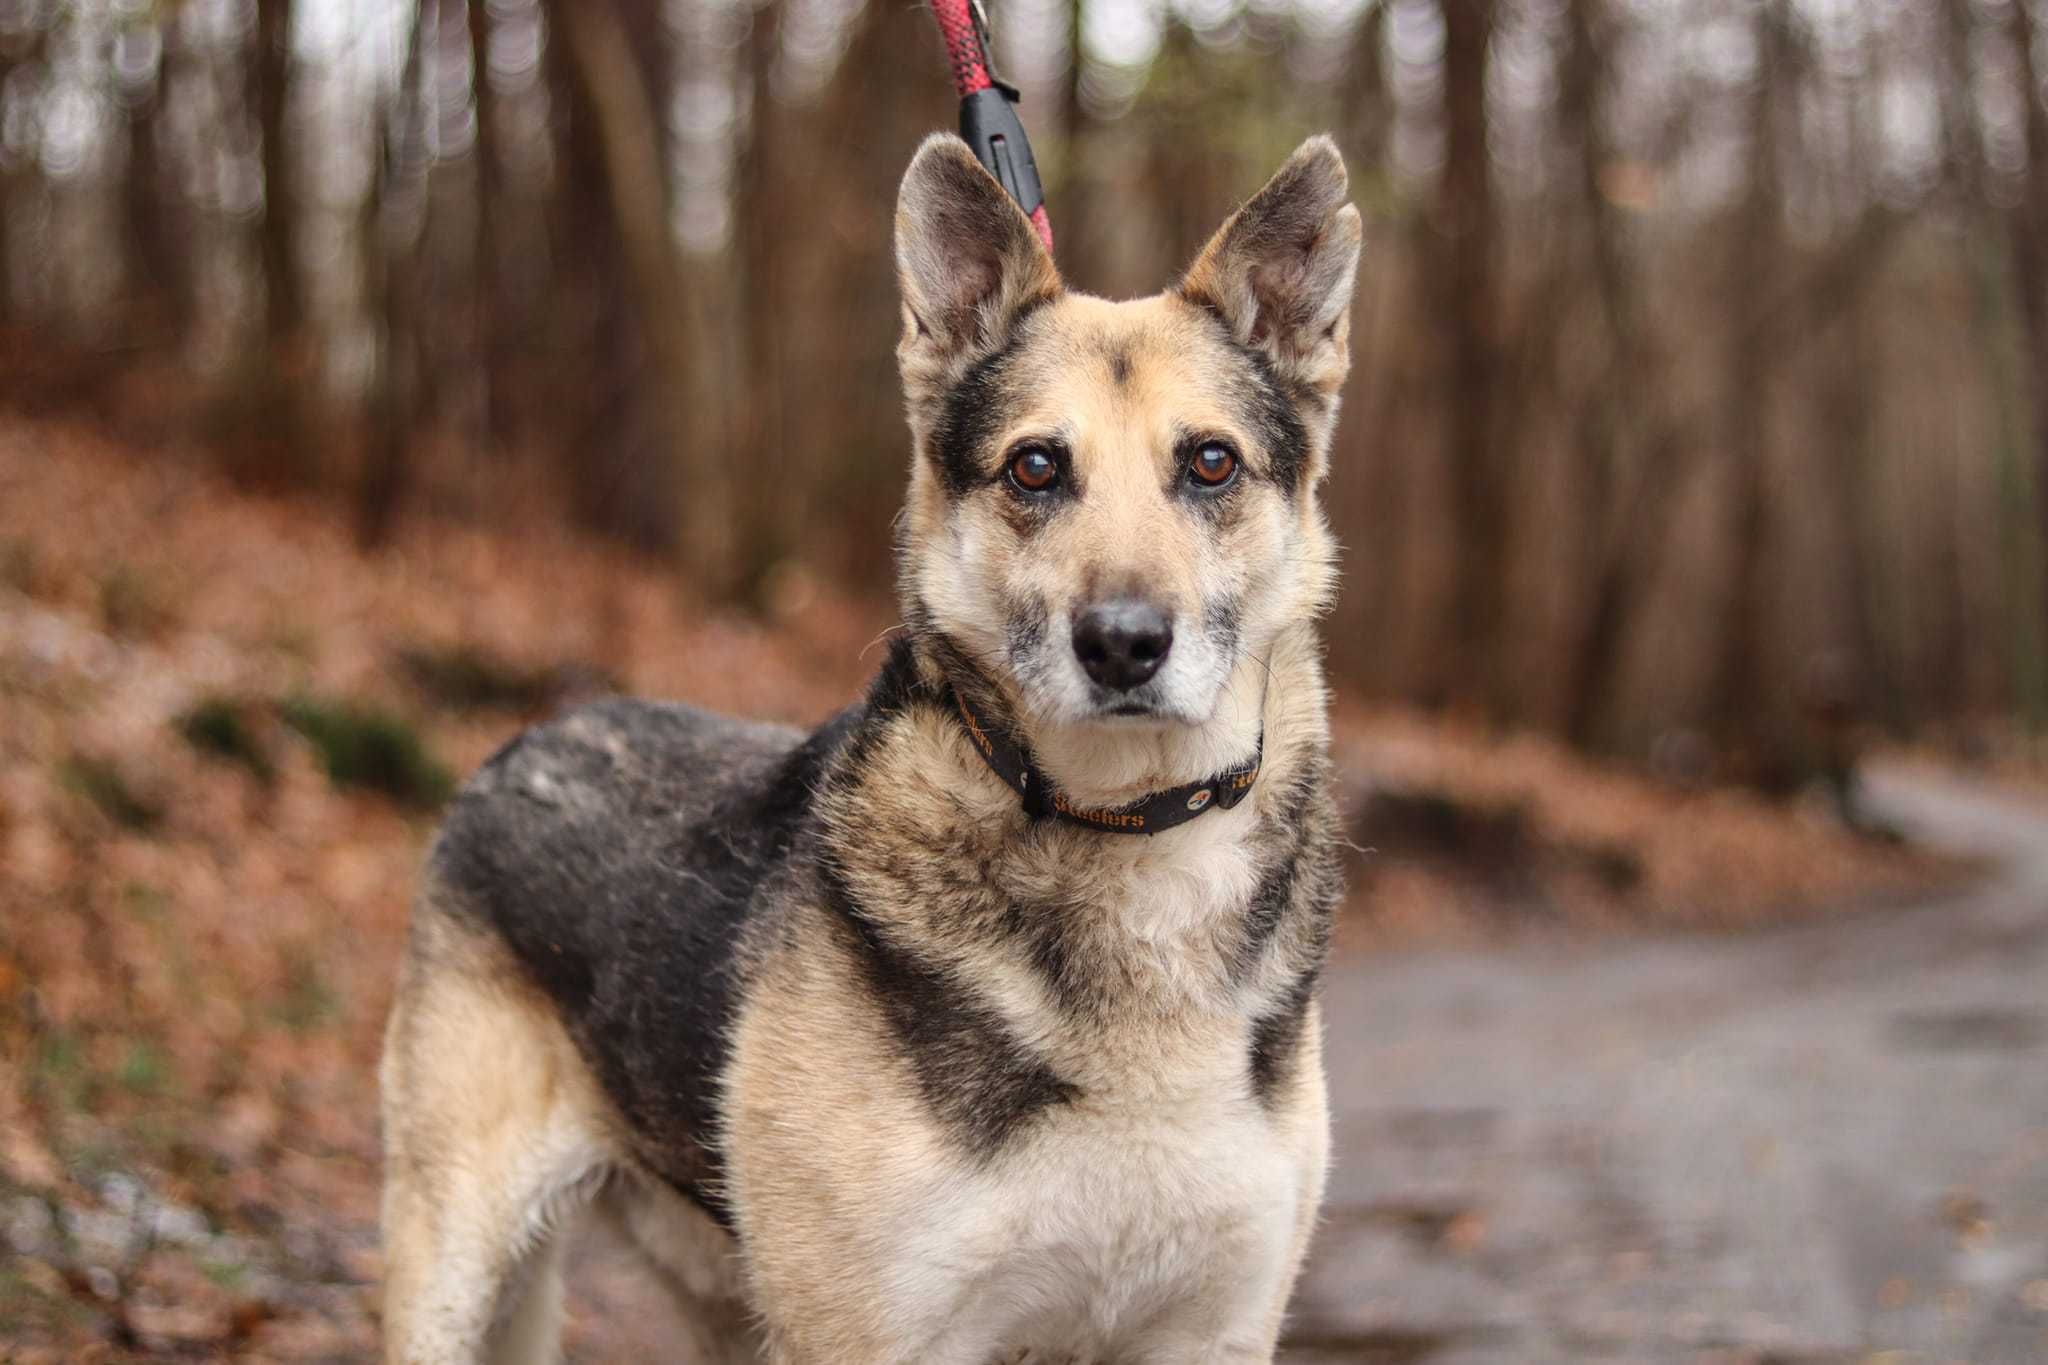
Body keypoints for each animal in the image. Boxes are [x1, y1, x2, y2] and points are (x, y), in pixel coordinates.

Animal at [378, 130, 1368, 1365]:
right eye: (1034, 468)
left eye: (1211, 464)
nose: (1124, 644)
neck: (1125, 832)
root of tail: (535, 733)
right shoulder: (868, 1333)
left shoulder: (1215, 1328)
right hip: (457, 1251)